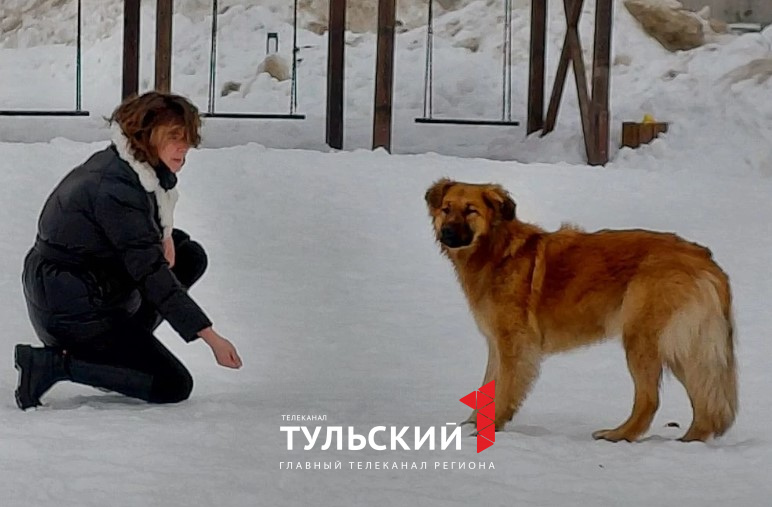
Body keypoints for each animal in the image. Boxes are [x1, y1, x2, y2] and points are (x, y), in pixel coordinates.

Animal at [425, 178, 737, 442]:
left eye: (470, 211)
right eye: (446, 209)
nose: (446, 232)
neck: (496, 251)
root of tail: (703, 259)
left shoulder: (514, 343)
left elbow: (503, 388)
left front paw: (488, 429)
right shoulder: (496, 343)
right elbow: (487, 385)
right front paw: (472, 425)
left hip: (643, 339)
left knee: (651, 400)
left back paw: (618, 435)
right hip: (683, 346)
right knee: (705, 398)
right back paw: (691, 440)